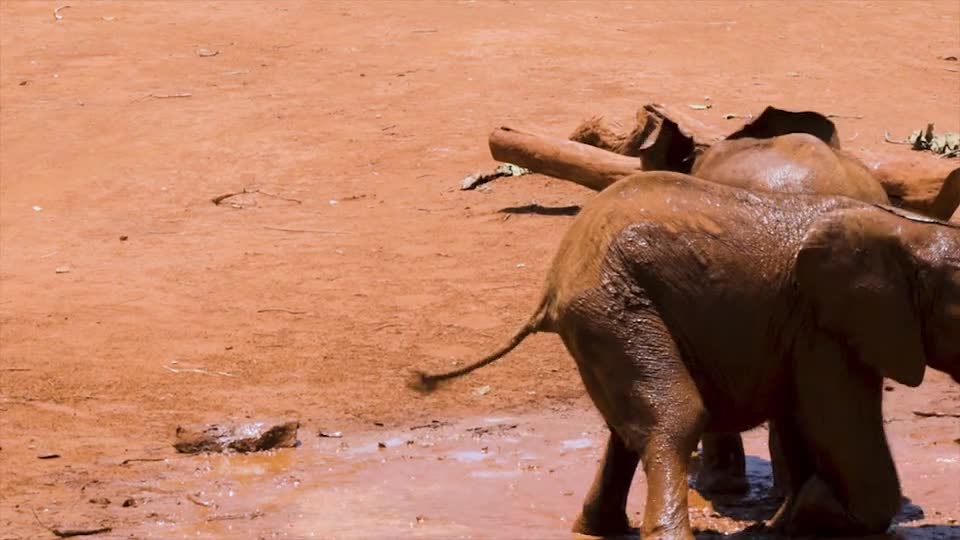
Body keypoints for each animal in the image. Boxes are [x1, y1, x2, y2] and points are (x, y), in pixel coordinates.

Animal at [414, 172, 960, 540]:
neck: (909, 232)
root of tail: (552, 279)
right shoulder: (828, 328)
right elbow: (842, 438)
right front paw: (805, 516)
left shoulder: (808, 329)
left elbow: (802, 425)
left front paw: (787, 521)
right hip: (614, 305)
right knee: (674, 417)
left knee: (628, 428)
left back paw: (597, 528)